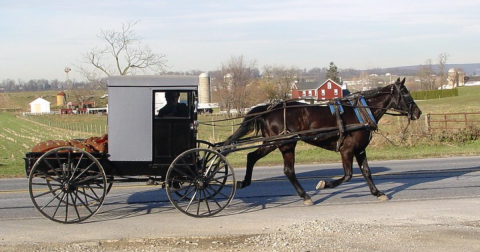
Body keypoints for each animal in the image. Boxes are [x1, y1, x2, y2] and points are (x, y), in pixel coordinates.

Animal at [223, 78, 422, 206]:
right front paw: (325, 184)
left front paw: (378, 193)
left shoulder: (359, 150)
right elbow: (348, 175)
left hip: (277, 143)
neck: (361, 112)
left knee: (257, 159)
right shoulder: (347, 150)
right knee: (282, 168)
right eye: (406, 93)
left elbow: (367, 172)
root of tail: (269, 108)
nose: (418, 112)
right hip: (283, 143)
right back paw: (305, 196)